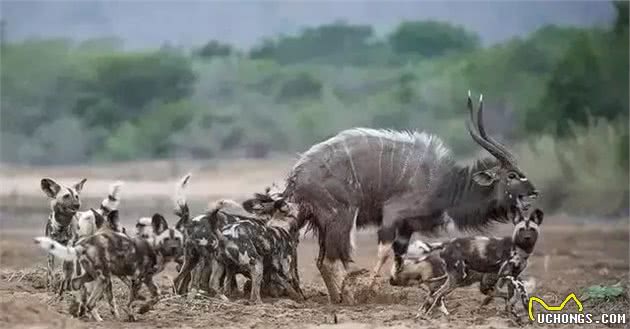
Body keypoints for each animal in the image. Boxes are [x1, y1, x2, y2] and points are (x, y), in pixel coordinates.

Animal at [390, 208, 544, 318]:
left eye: (532, 230)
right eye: (521, 230)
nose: (527, 238)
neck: (519, 249)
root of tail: (446, 243)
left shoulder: (513, 276)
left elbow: (512, 297)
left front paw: (514, 315)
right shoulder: (506, 274)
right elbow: (520, 291)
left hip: (458, 280)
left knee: (434, 296)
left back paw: (422, 316)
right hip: (458, 278)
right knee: (437, 296)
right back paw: (431, 318)